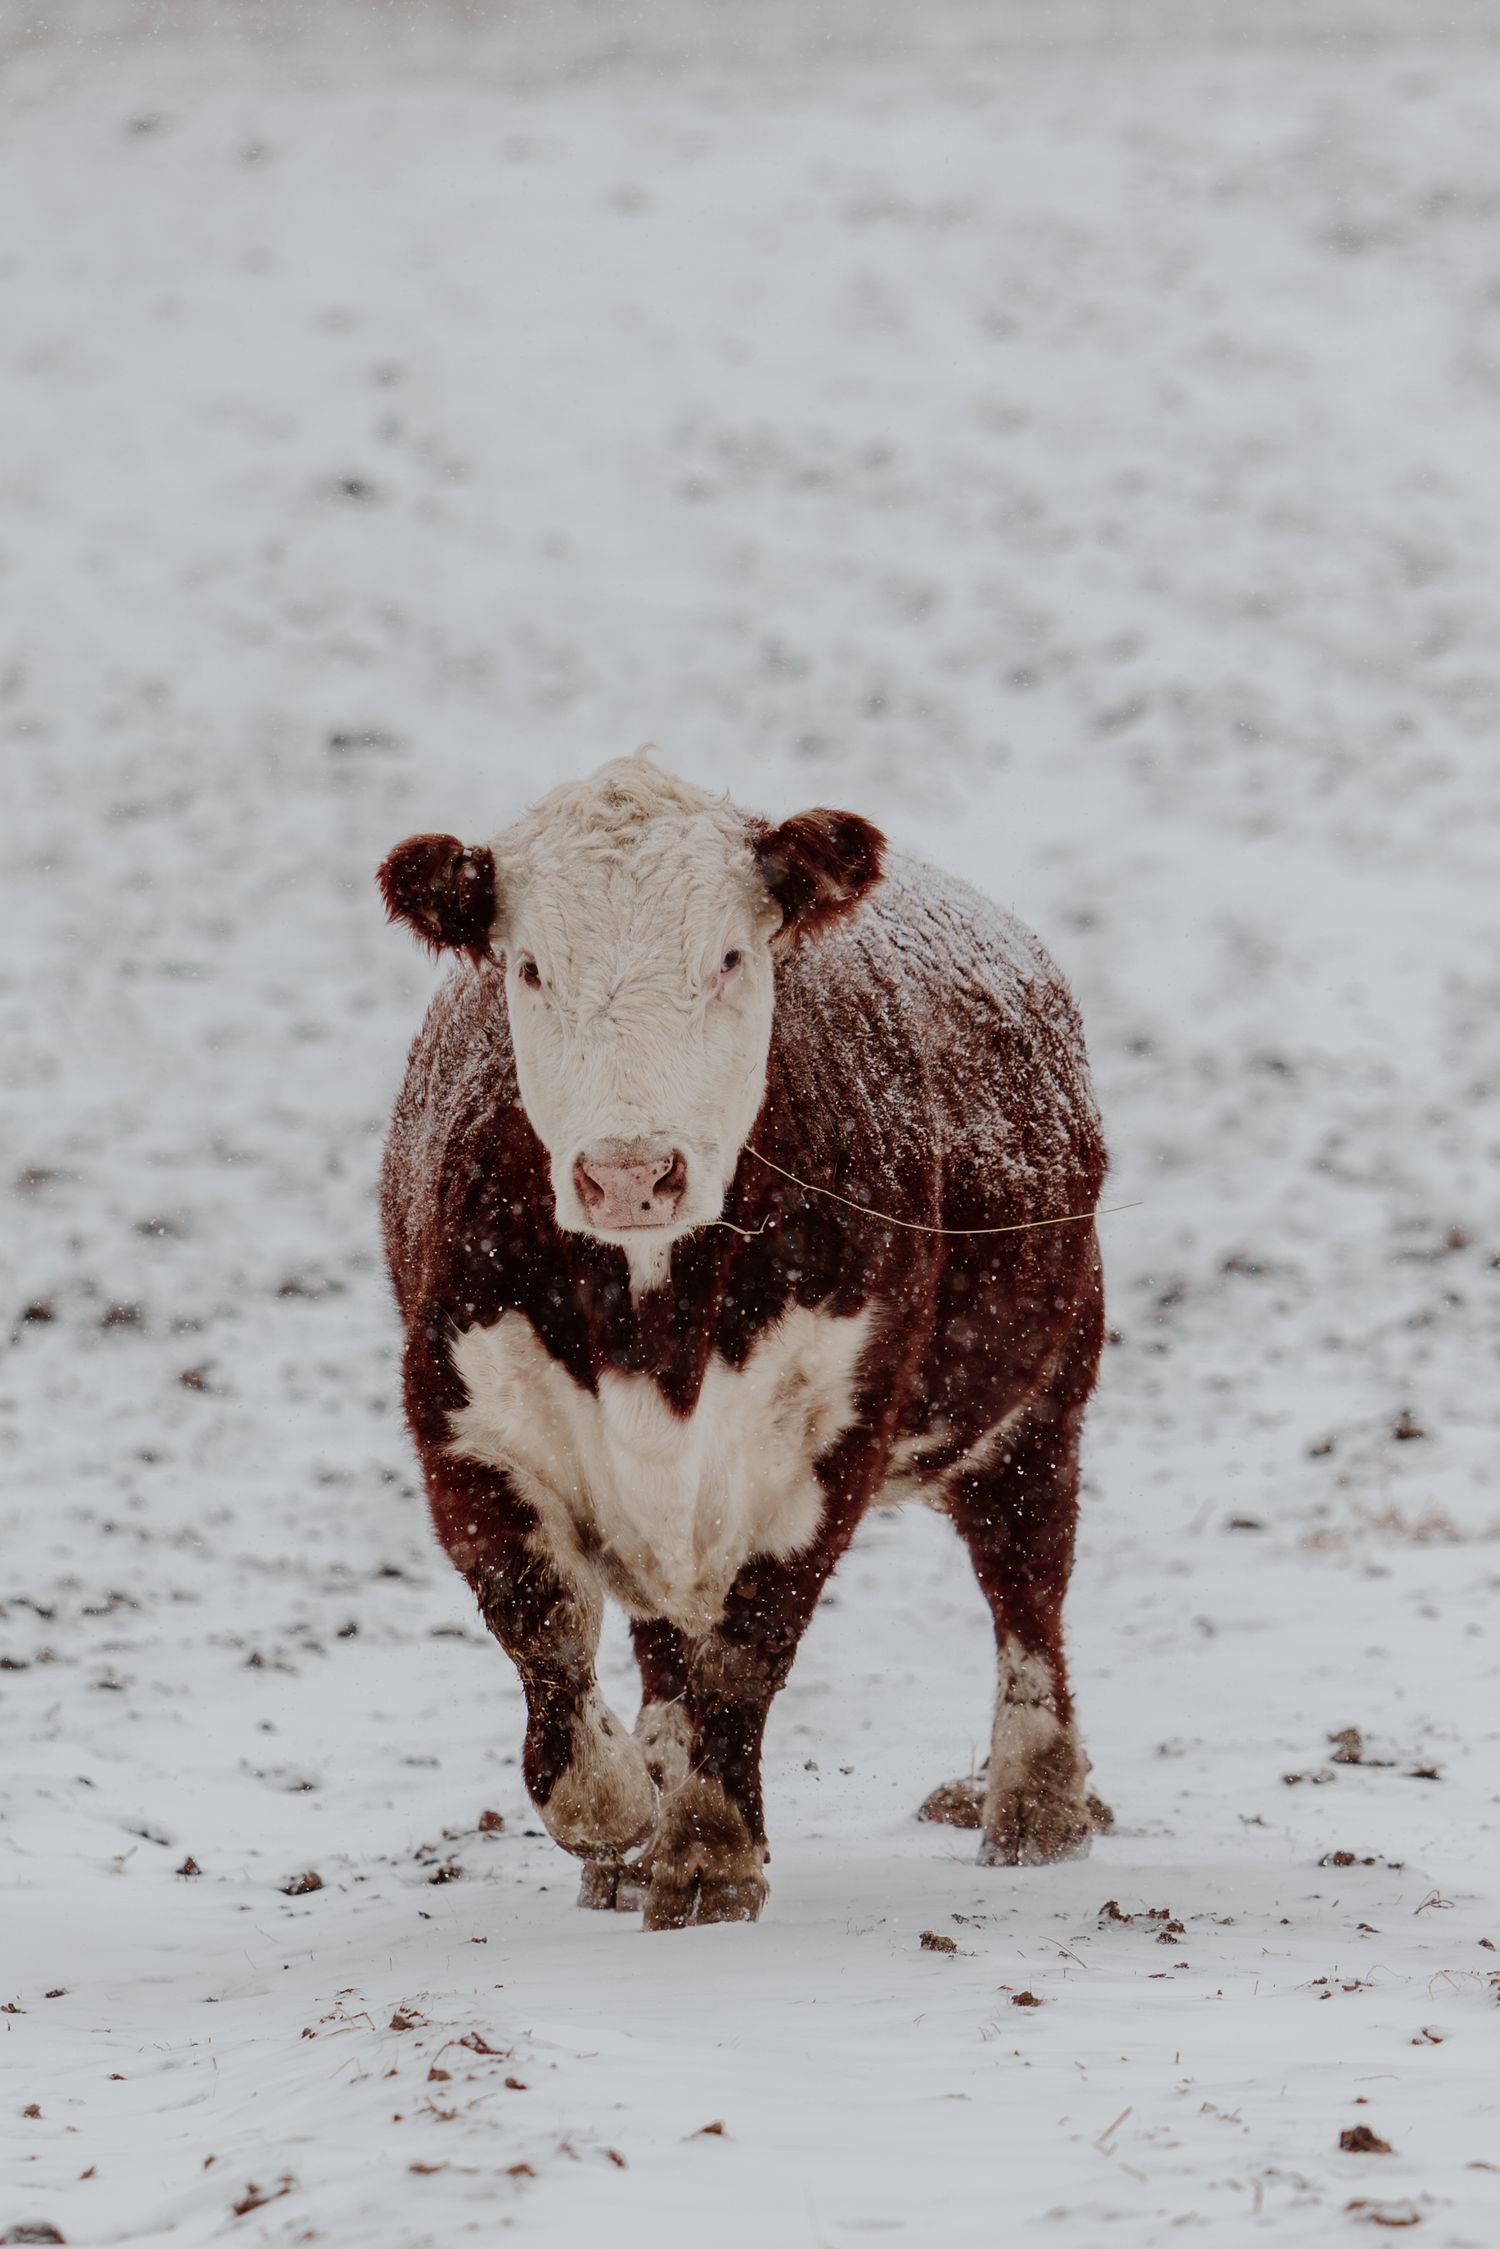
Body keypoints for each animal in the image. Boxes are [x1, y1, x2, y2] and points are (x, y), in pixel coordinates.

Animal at [377, 751, 1107, 1930]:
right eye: (528, 966)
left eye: (727, 955)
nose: (630, 1171)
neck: (651, 1317)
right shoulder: (460, 1408)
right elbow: (541, 1618)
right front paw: (619, 1805)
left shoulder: (832, 1429)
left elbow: (752, 1639)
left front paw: (709, 1853)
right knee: (662, 1629)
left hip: (1045, 1390)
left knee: (1027, 1575)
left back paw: (1036, 1800)